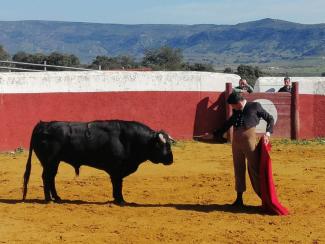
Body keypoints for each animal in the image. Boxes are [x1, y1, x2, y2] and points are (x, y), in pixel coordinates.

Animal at [22, 120, 175, 204]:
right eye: (163, 145)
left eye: (169, 144)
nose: (171, 160)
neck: (131, 139)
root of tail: (43, 124)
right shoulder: (117, 169)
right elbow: (118, 184)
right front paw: (120, 200)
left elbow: (117, 185)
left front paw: (117, 199)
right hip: (49, 161)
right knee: (46, 177)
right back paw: (48, 199)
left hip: (54, 162)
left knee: (51, 177)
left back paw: (57, 197)